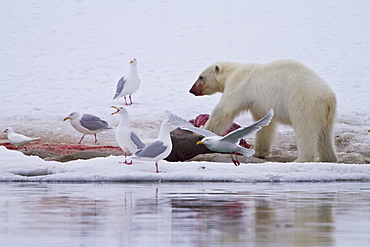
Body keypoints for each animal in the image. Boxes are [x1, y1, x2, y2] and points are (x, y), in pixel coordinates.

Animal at [191, 59, 338, 163]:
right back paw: (328, 157)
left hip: (303, 104)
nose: (191, 90)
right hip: (327, 114)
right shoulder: (260, 104)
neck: (233, 71)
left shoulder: (239, 85)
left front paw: (200, 131)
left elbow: (223, 111)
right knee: (325, 135)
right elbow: (264, 124)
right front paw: (260, 152)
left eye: (201, 77)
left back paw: (301, 159)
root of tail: (327, 99)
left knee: (305, 130)